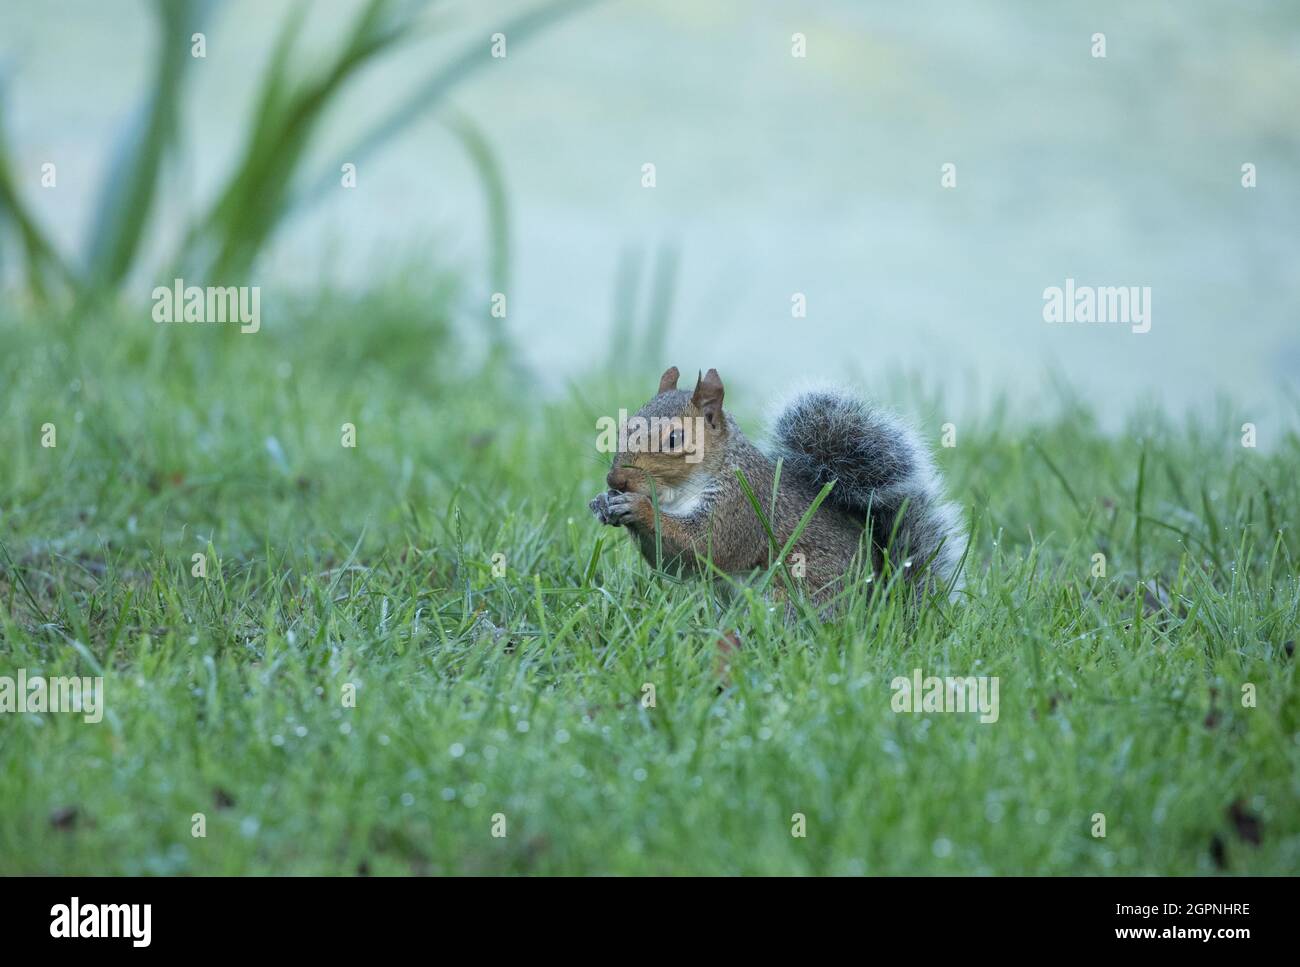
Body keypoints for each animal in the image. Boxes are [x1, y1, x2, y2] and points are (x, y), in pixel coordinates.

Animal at [588, 366, 966, 600]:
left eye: (674, 439)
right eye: (623, 427)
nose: (616, 479)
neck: (680, 494)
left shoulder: (741, 505)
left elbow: (707, 546)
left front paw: (637, 507)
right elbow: (672, 564)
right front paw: (604, 503)